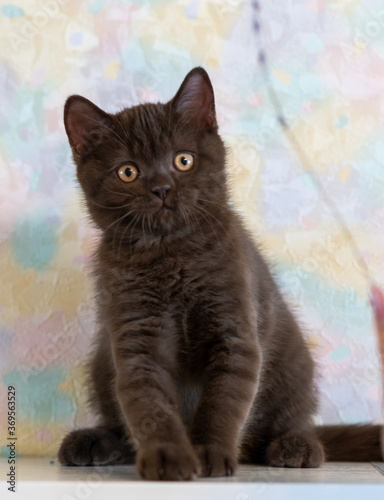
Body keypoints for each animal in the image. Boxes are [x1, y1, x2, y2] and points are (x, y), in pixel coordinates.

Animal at [57, 67, 384, 480]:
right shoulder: (135, 334)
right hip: (101, 361)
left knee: (294, 421)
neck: (171, 254)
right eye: (128, 172)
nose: (162, 188)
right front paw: (166, 457)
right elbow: (146, 402)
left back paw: (296, 446)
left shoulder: (235, 328)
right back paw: (94, 441)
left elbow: (223, 400)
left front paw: (209, 453)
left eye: (183, 160)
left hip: (295, 363)